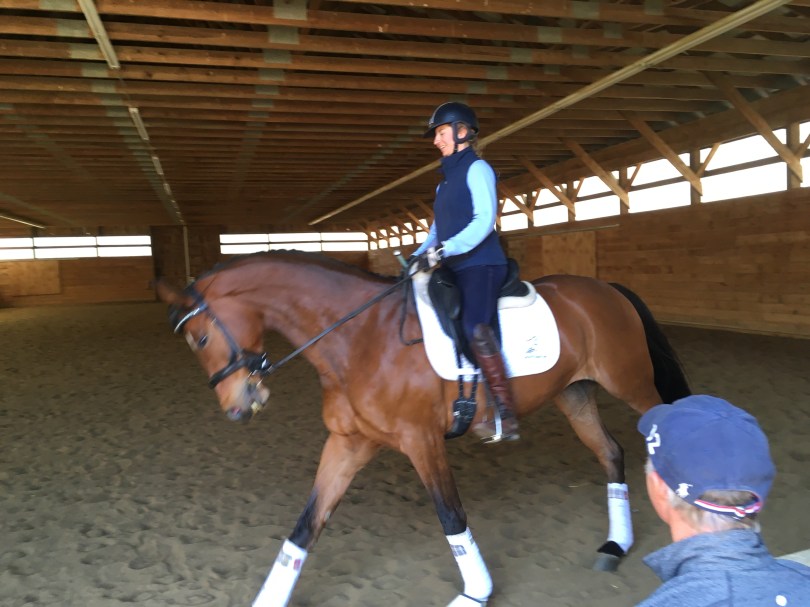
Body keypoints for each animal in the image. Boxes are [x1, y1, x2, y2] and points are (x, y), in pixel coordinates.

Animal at [155, 250, 691, 607]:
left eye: (200, 338)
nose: (238, 408)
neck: (360, 337)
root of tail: (607, 289)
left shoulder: (422, 441)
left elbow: (451, 517)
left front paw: (477, 592)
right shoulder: (349, 443)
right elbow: (306, 526)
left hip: (630, 383)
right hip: (574, 394)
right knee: (611, 452)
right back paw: (615, 544)